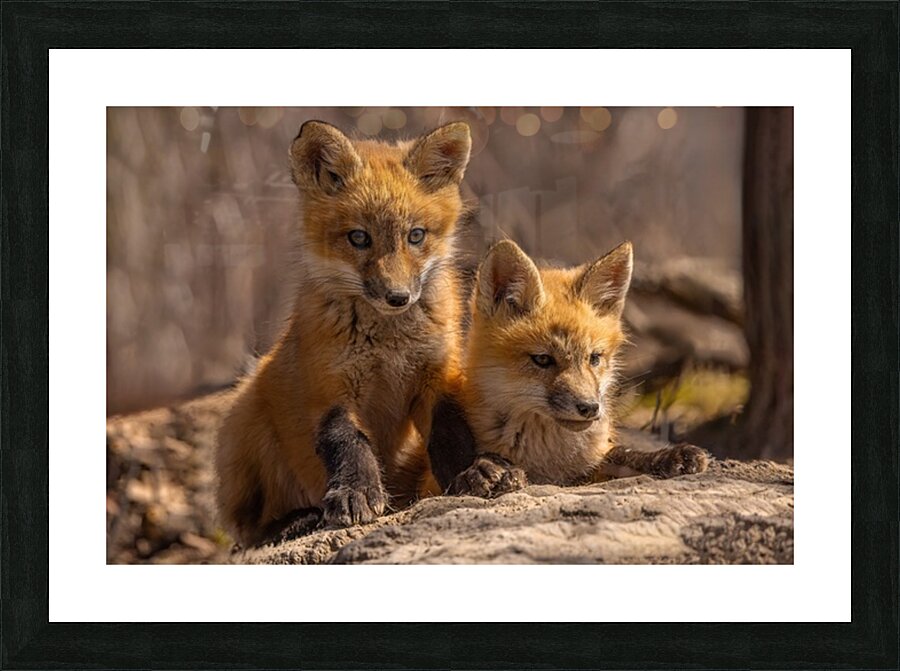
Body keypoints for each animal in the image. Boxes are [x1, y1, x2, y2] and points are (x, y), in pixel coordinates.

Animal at [216, 120, 472, 545]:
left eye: (416, 236)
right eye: (359, 237)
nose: (398, 297)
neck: (389, 346)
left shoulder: (438, 376)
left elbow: (451, 432)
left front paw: (477, 471)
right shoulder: (330, 388)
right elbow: (349, 443)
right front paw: (357, 494)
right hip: (244, 421)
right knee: (247, 532)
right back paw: (295, 521)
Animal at [427, 239, 709, 497]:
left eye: (594, 358)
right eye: (542, 359)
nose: (590, 408)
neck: (548, 458)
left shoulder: (591, 465)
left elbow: (621, 455)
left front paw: (667, 457)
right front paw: (481, 473)